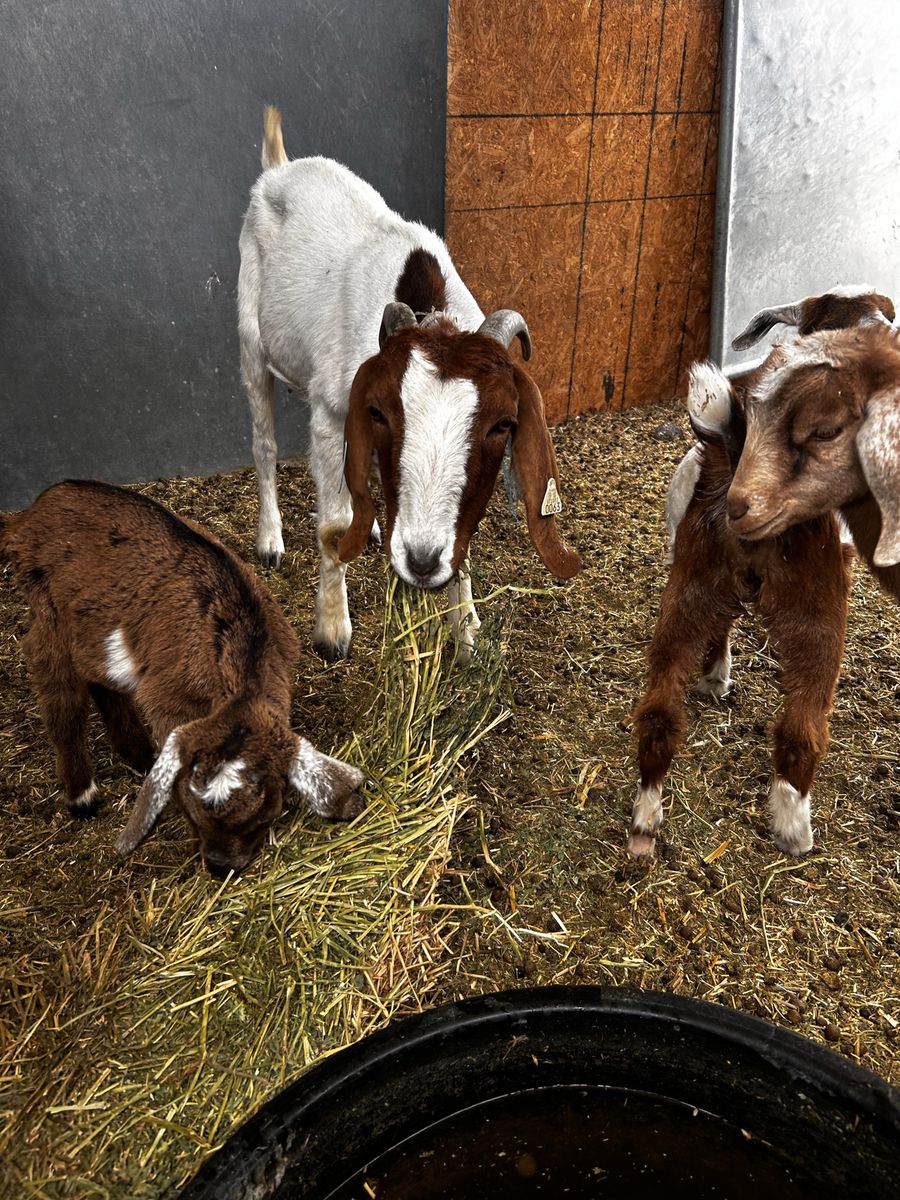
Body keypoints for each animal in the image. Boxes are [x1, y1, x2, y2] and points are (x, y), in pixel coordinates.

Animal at [1, 481, 365, 875]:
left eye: (261, 811)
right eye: (194, 807)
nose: (220, 866)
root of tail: (33, 511)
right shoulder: (171, 700)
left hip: (90, 627)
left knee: (99, 681)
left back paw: (139, 755)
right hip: (47, 611)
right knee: (61, 694)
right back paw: (83, 795)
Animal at [238, 106, 581, 661]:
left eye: (501, 425)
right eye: (382, 410)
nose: (421, 561)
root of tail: (281, 167)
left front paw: (466, 635)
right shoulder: (332, 411)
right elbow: (332, 527)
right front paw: (332, 633)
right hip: (250, 340)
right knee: (264, 442)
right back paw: (270, 540)